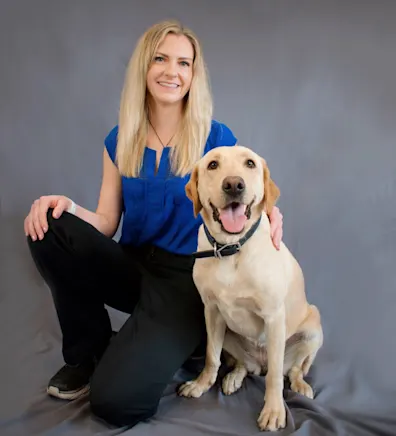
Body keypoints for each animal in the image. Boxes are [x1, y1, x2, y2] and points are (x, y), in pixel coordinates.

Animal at [178, 145, 324, 430]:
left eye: (250, 163)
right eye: (213, 165)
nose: (234, 185)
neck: (231, 248)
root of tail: (260, 364)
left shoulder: (274, 317)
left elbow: (276, 377)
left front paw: (274, 410)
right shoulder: (211, 311)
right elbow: (211, 357)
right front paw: (201, 384)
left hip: (313, 328)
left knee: (293, 368)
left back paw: (300, 385)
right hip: (229, 334)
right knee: (244, 365)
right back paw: (234, 377)